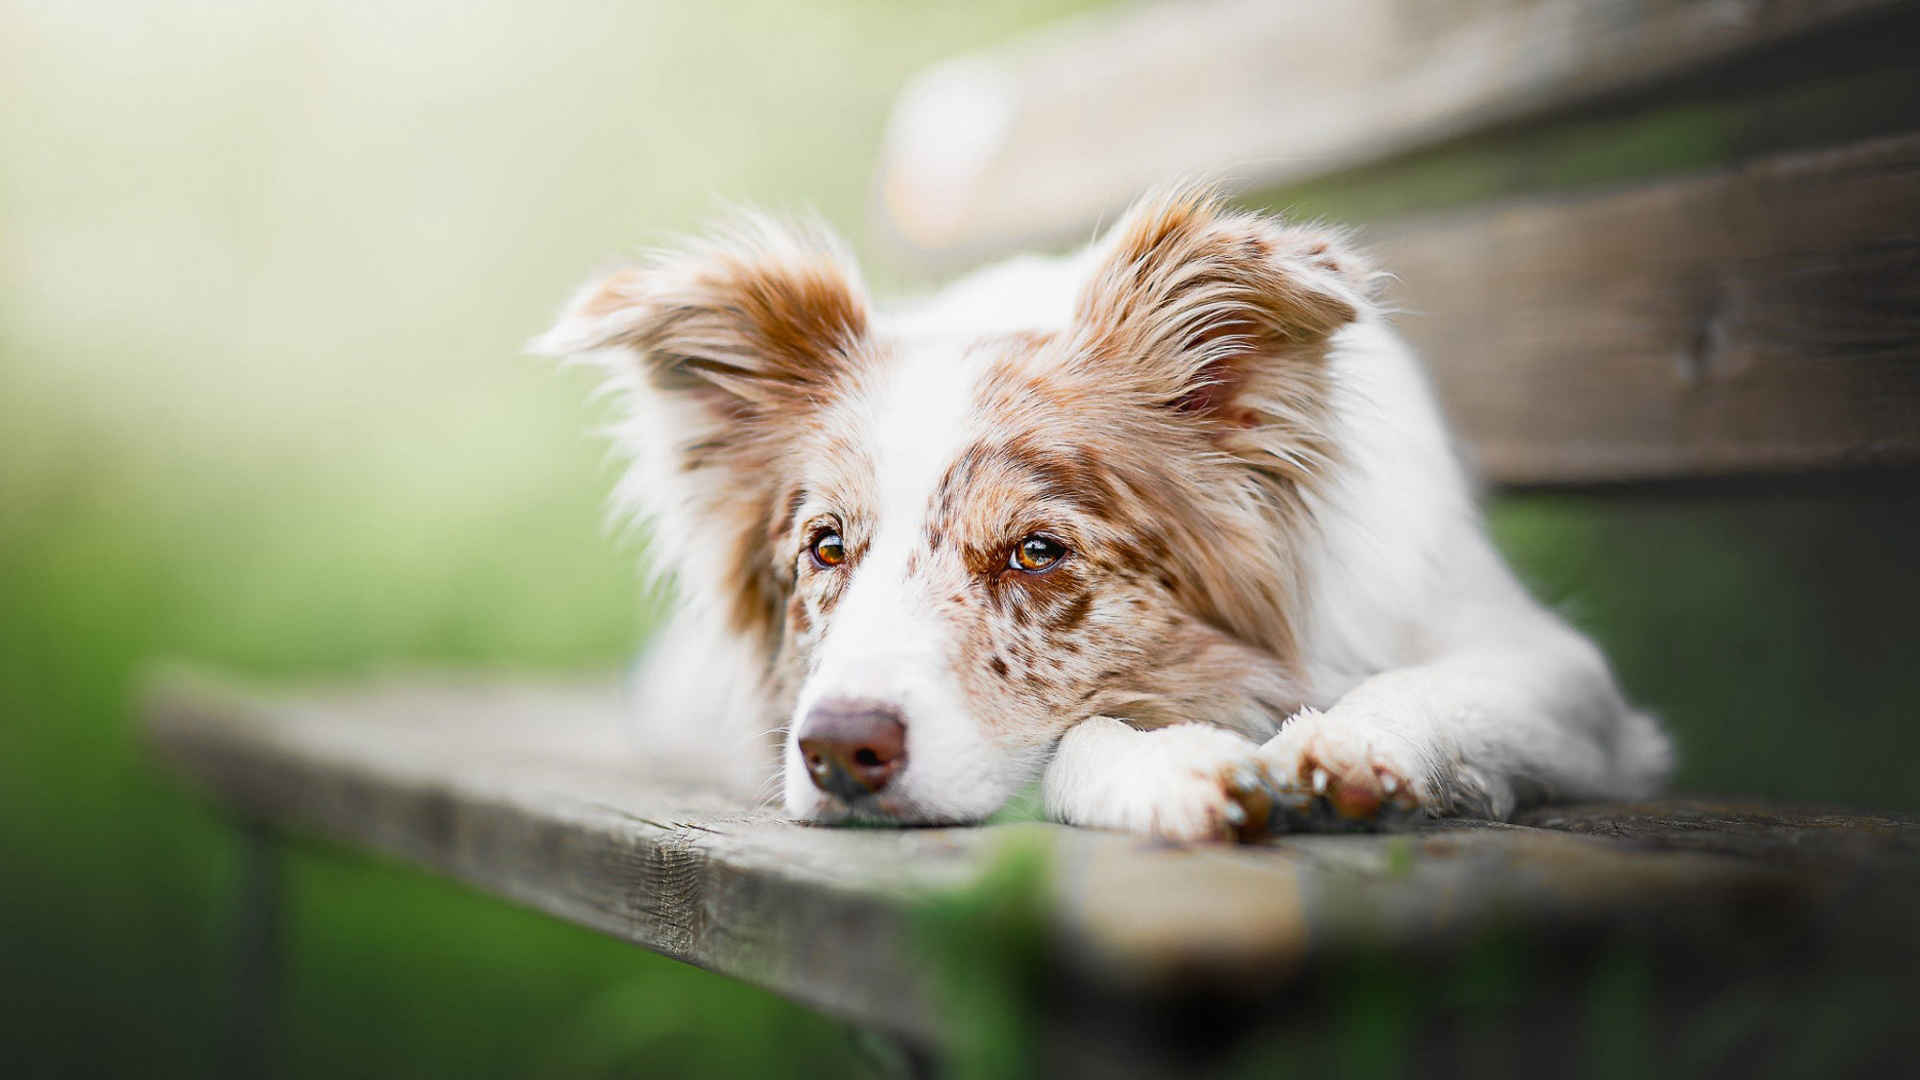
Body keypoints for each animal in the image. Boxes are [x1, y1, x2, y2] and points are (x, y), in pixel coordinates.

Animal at [533, 184, 1674, 841]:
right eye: (825, 548)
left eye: (1037, 551)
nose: (837, 751)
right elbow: (1083, 739)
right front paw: (1176, 767)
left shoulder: (1575, 682)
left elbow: (1437, 691)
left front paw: (1352, 747)